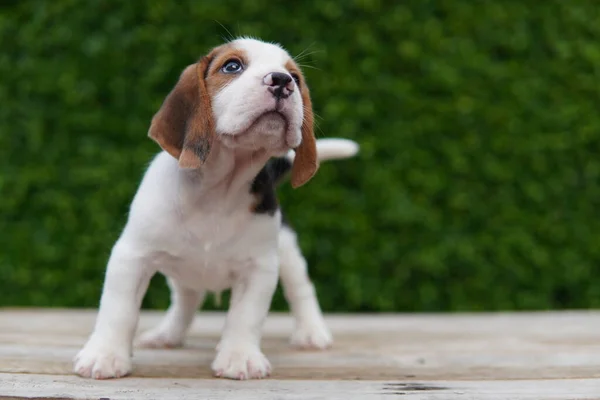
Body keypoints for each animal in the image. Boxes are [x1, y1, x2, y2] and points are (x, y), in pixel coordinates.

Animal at [72, 38, 358, 382]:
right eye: (232, 66)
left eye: (296, 77)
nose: (282, 81)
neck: (219, 190)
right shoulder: (131, 256)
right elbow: (118, 310)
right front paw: (105, 355)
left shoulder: (259, 268)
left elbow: (245, 317)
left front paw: (240, 357)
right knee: (186, 301)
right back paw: (168, 334)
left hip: (287, 251)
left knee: (301, 290)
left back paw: (312, 333)